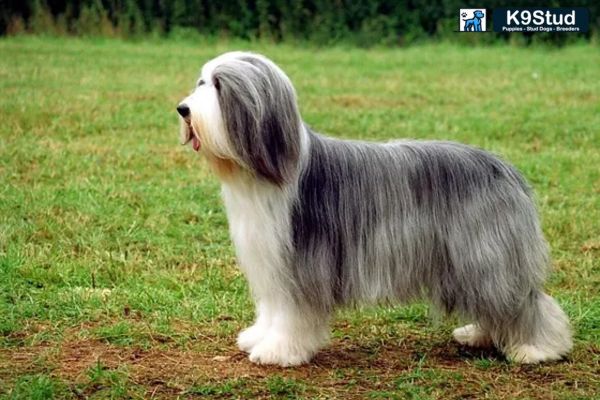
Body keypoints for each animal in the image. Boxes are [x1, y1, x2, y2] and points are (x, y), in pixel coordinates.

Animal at [175, 51, 572, 368]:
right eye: (201, 81)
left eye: (219, 86)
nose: (182, 109)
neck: (269, 173)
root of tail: (505, 168)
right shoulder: (272, 261)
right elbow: (273, 308)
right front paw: (260, 337)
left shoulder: (302, 263)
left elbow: (293, 314)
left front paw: (279, 351)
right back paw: (479, 333)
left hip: (485, 253)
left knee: (522, 301)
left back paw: (534, 348)